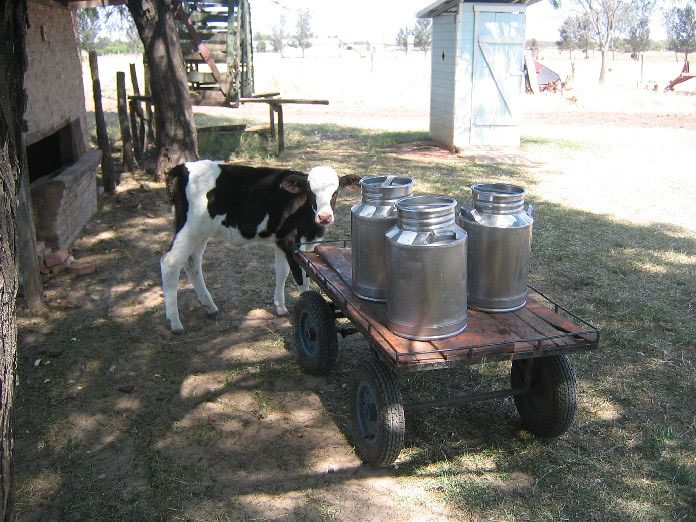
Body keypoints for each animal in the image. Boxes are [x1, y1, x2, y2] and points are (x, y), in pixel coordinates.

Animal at [160, 160, 360, 333]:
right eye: (311, 192)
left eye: (335, 192)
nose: (324, 217)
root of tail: (182, 167)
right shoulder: (290, 243)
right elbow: (302, 278)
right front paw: (308, 307)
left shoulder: (286, 241)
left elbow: (282, 272)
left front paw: (280, 307)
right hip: (189, 228)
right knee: (170, 262)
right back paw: (175, 323)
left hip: (201, 233)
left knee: (192, 262)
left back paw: (209, 306)